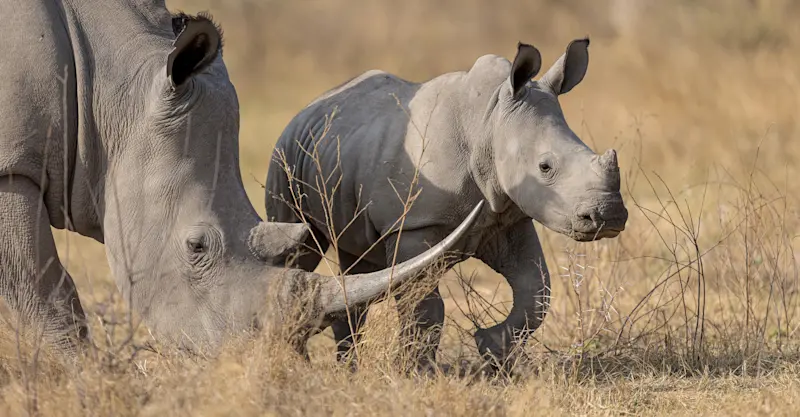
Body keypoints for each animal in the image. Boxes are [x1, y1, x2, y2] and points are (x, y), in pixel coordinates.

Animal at [0, 0, 483, 358]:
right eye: (197, 247)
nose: (256, 361)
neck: (105, 87)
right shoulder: (10, 169)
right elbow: (42, 288)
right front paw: (83, 376)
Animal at [265, 38, 628, 368]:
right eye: (545, 167)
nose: (608, 216)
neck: (489, 122)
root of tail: (309, 107)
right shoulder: (413, 224)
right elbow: (425, 305)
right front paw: (416, 371)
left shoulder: (508, 217)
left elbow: (536, 291)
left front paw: (490, 348)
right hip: (285, 153)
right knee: (299, 244)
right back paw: (296, 359)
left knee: (357, 264)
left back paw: (346, 369)